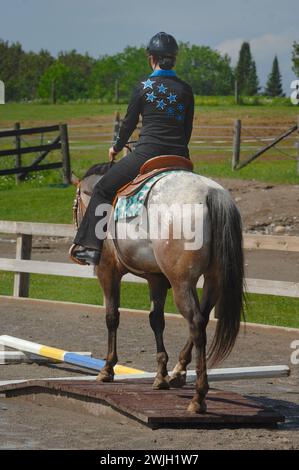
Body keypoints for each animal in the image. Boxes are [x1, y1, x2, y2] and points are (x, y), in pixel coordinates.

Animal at [72, 161, 246, 412]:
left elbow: (112, 317)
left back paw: (198, 397)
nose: (77, 250)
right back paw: (178, 373)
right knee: (202, 319)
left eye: (75, 205)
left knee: (196, 323)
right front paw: (161, 375)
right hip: (213, 280)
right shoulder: (156, 279)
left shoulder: (107, 270)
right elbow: (156, 320)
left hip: (182, 282)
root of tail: (210, 193)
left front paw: (107, 368)